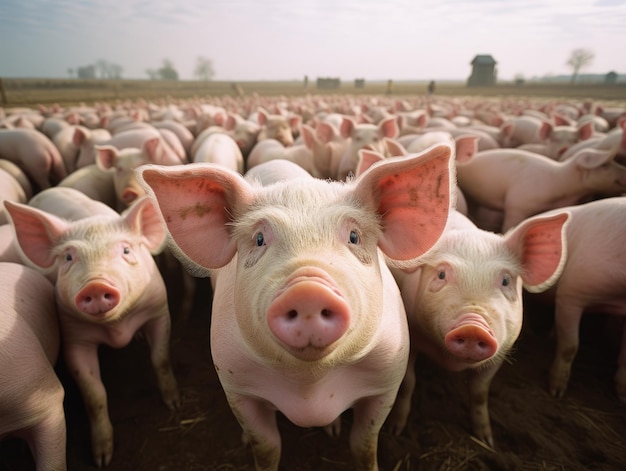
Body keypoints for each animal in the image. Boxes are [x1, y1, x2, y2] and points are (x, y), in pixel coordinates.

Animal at [386, 212, 564, 448]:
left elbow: (480, 391)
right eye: (441, 274)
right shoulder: (412, 339)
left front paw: (487, 440)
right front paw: (396, 431)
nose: (473, 326)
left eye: (505, 280)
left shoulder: (501, 352)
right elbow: (408, 383)